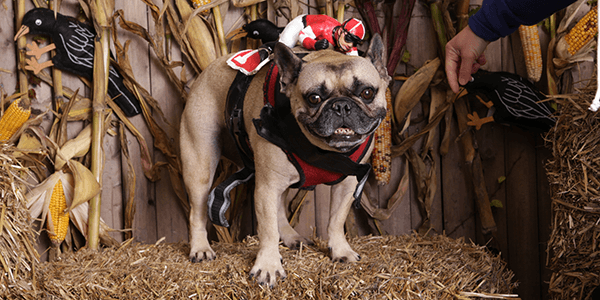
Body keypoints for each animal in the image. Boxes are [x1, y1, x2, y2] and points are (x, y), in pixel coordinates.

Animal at [180, 32, 392, 286]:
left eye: (367, 93)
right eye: (314, 98)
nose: (341, 105)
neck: (323, 150)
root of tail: (206, 72)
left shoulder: (347, 184)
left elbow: (336, 220)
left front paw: (341, 251)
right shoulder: (267, 187)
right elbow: (268, 229)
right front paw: (268, 266)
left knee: (280, 209)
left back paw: (292, 237)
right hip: (200, 163)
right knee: (198, 209)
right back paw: (200, 249)